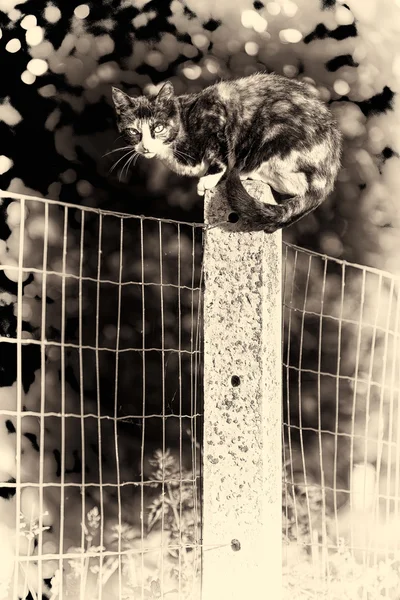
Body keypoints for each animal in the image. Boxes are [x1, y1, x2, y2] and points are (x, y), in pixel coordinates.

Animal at [111, 74, 342, 233]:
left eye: (158, 128)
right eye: (133, 131)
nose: (145, 146)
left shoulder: (215, 113)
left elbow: (219, 151)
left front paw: (209, 178)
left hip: (275, 130)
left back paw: (244, 172)